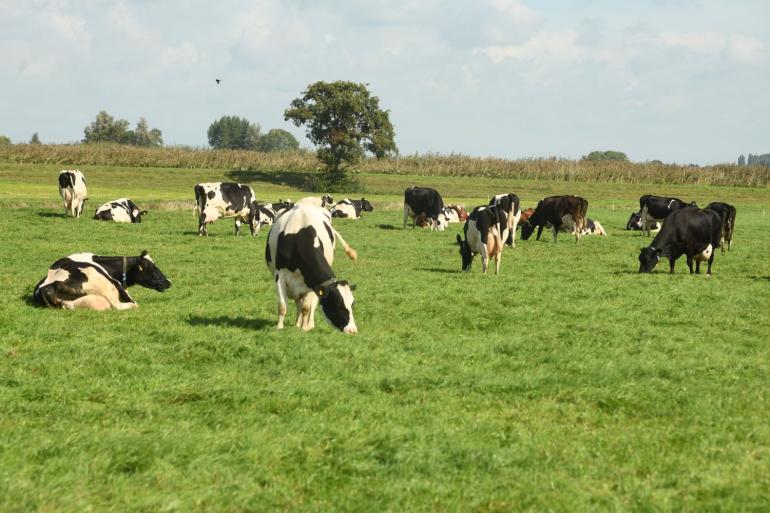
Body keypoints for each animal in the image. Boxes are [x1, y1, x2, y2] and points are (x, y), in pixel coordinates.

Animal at [266, 204, 358, 332]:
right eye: (338, 304)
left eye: (352, 304)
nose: (352, 330)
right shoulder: (280, 275)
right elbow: (282, 306)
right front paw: (279, 328)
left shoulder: (311, 282)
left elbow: (306, 307)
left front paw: (304, 328)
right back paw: (297, 323)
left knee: (311, 304)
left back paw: (308, 324)